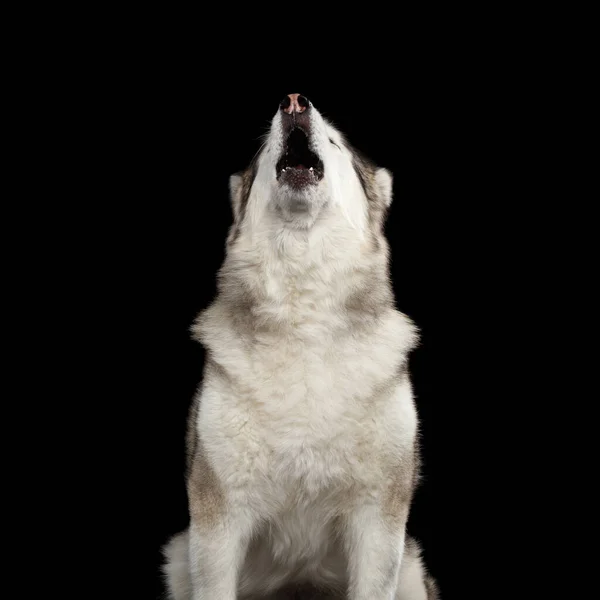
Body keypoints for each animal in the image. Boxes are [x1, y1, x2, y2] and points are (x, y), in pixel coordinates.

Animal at [162, 94, 438, 600]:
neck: (304, 317)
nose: (294, 102)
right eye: (263, 149)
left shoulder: (378, 520)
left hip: (410, 570)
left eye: (334, 140)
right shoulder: (217, 522)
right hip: (178, 558)